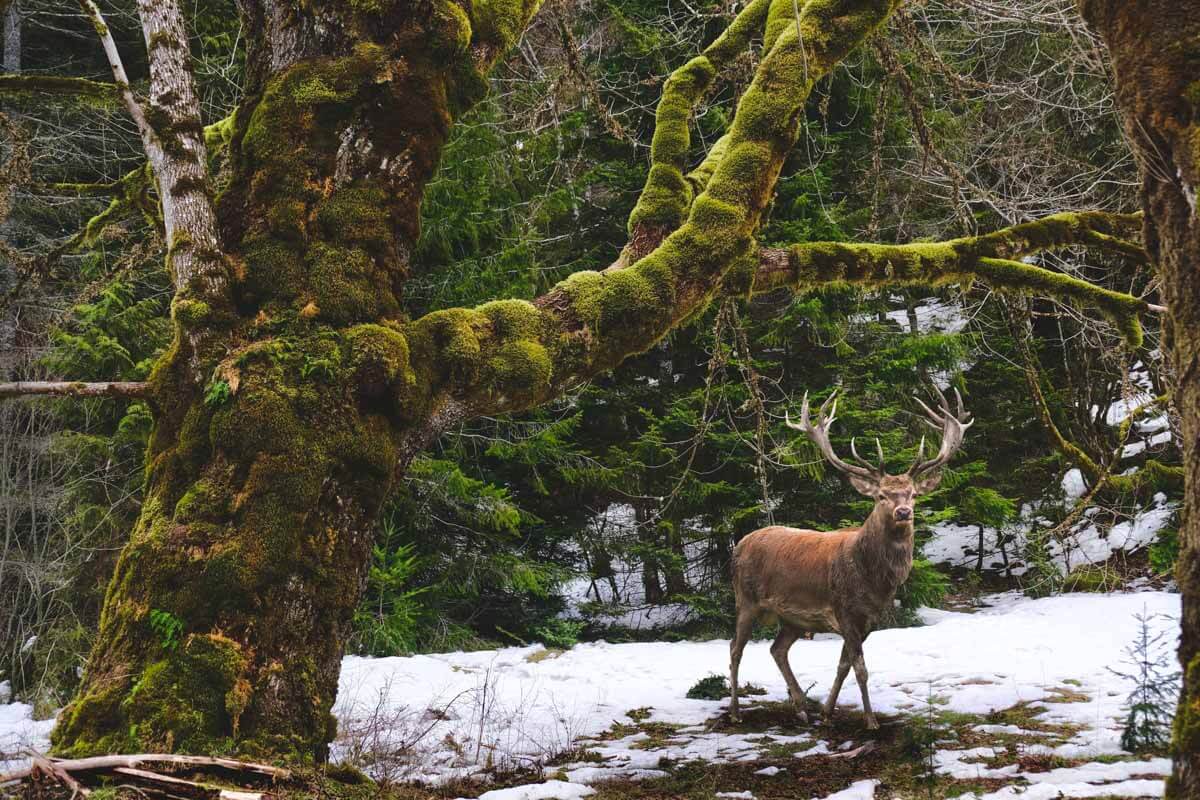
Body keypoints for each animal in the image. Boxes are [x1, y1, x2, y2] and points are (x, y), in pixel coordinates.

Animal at [728, 385, 972, 729]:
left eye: (913, 494)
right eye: (881, 495)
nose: (903, 512)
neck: (874, 581)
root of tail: (738, 545)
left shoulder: (868, 620)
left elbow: (843, 666)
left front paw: (828, 713)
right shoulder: (844, 611)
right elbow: (860, 669)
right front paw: (871, 721)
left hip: (791, 618)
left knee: (777, 649)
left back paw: (801, 708)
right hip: (745, 599)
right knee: (735, 649)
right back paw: (736, 712)